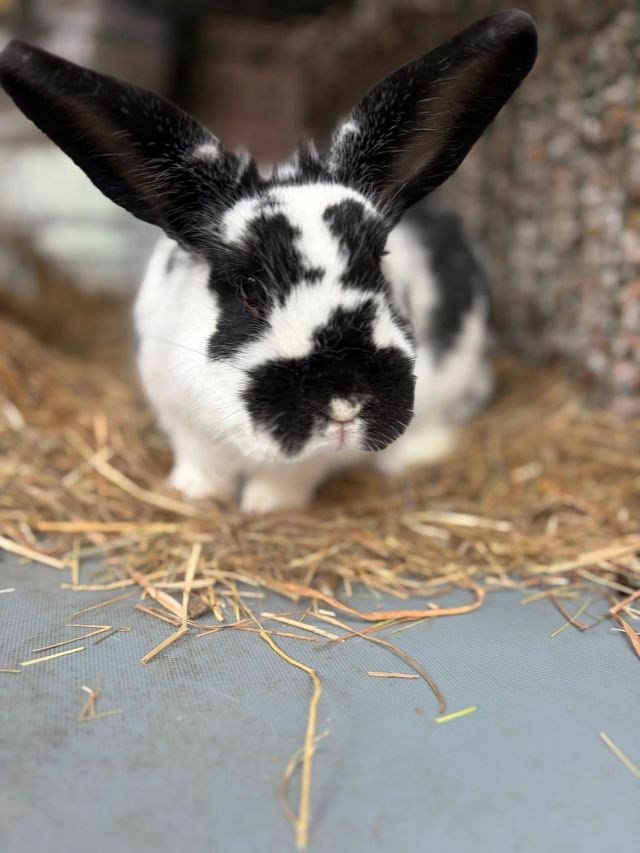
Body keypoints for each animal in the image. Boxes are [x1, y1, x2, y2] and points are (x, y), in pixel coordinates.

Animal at [0, 10, 537, 513]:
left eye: (377, 266)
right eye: (250, 288)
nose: (344, 404)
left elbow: (290, 477)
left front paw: (267, 507)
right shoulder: (182, 423)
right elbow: (200, 465)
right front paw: (192, 494)